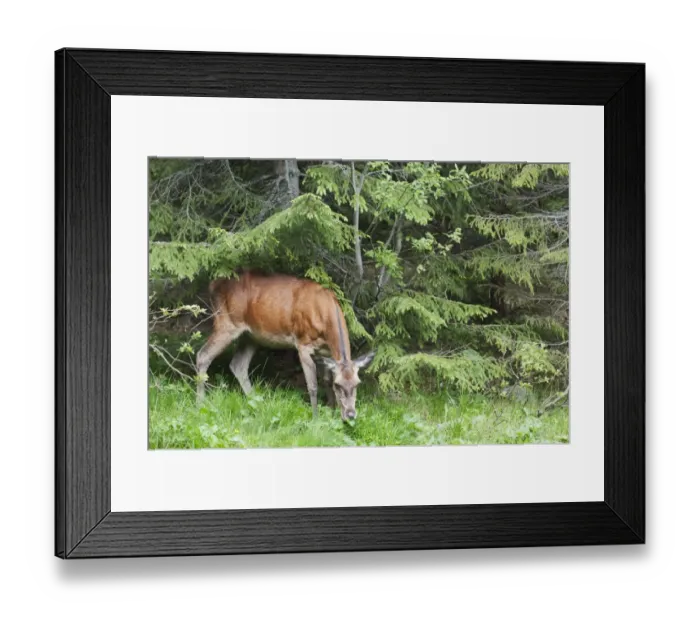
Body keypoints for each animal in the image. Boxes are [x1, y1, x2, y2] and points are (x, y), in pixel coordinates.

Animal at [195, 270, 375, 422]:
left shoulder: (326, 352)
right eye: (338, 385)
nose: (350, 415)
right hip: (227, 322)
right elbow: (312, 385)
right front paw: (316, 418)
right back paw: (200, 403)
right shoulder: (303, 343)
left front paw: (331, 411)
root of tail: (214, 285)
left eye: (357, 383)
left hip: (252, 336)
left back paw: (257, 402)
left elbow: (325, 380)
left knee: (238, 364)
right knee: (203, 355)